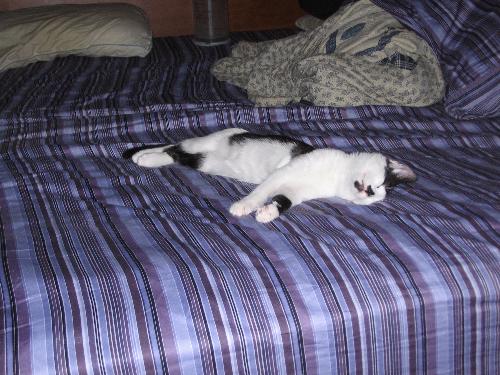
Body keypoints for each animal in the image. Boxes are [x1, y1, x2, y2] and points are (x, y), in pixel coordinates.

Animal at [123, 129, 416, 223]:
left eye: (374, 196)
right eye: (380, 183)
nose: (368, 191)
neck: (335, 177)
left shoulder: (296, 191)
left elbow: (283, 200)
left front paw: (269, 212)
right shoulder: (283, 172)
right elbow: (261, 191)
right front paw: (245, 206)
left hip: (204, 162)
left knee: (178, 154)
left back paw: (144, 157)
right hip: (205, 144)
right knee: (173, 146)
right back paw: (143, 156)